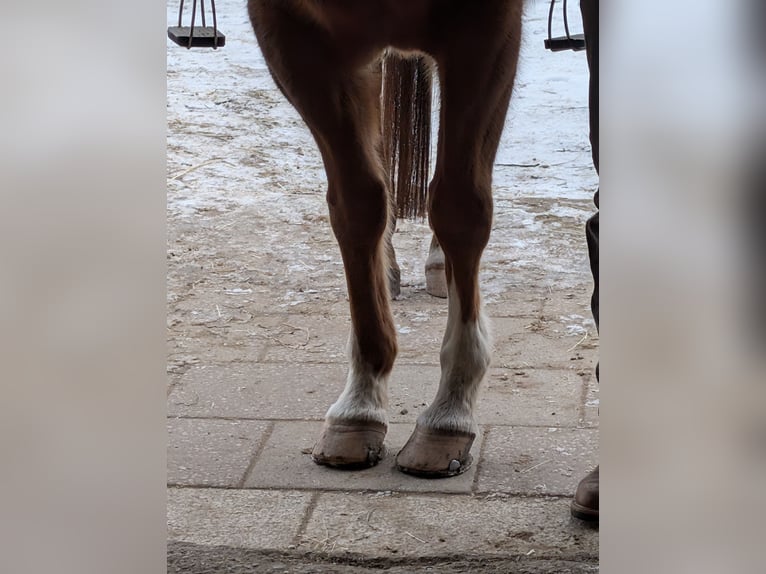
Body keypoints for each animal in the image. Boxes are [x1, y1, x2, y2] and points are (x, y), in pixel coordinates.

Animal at [248, 0, 523, 477]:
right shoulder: (294, 37)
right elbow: (357, 205)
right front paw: (360, 405)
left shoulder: (486, 30)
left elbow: (459, 205)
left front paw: (450, 411)